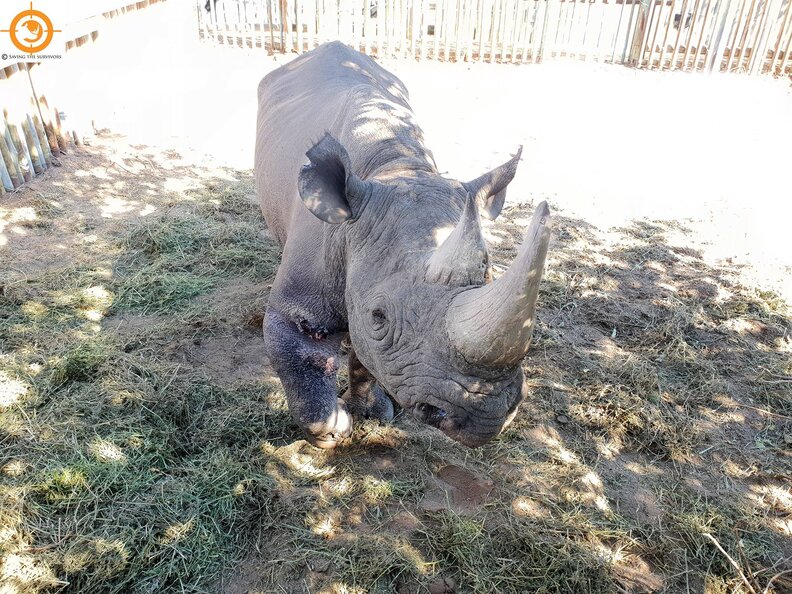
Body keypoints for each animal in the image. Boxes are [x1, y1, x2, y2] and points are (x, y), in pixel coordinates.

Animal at [255, 41, 551, 448]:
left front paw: (375, 411)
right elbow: (302, 354)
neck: (396, 170)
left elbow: (367, 358)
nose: (486, 416)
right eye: (379, 316)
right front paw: (336, 428)